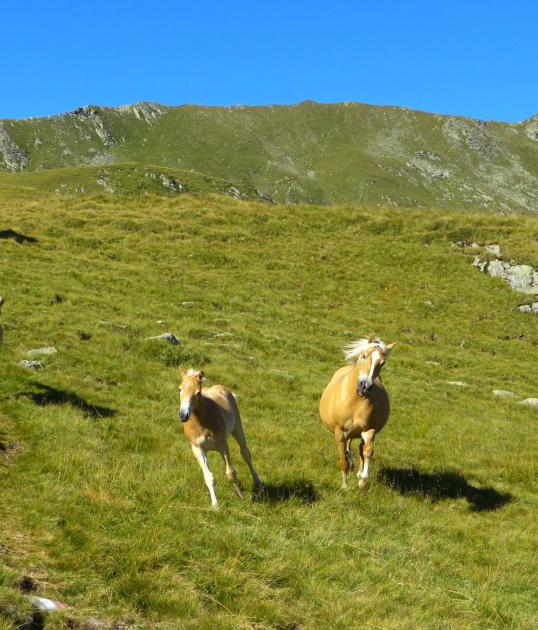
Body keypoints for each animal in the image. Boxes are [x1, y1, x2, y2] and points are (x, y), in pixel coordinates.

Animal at [177, 368, 262, 512]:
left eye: (198, 393)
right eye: (179, 389)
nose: (183, 415)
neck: (202, 423)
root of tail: (221, 387)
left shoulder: (223, 445)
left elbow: (231, 473)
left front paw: (242, 497)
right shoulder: (197, 449)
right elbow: (209, 477)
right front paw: (215, 505)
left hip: (237, 429)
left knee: (245, 453)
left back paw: (257, 482)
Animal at [318, 334, 394, 492]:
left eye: (382, 363)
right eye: (364, 355)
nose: (365, 386)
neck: (355, 400)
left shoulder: (369, 430)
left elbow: (367, 451)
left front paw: (363, 480)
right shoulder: (339, 432)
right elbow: (342, 460)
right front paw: (345, 486)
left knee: (360, 448)